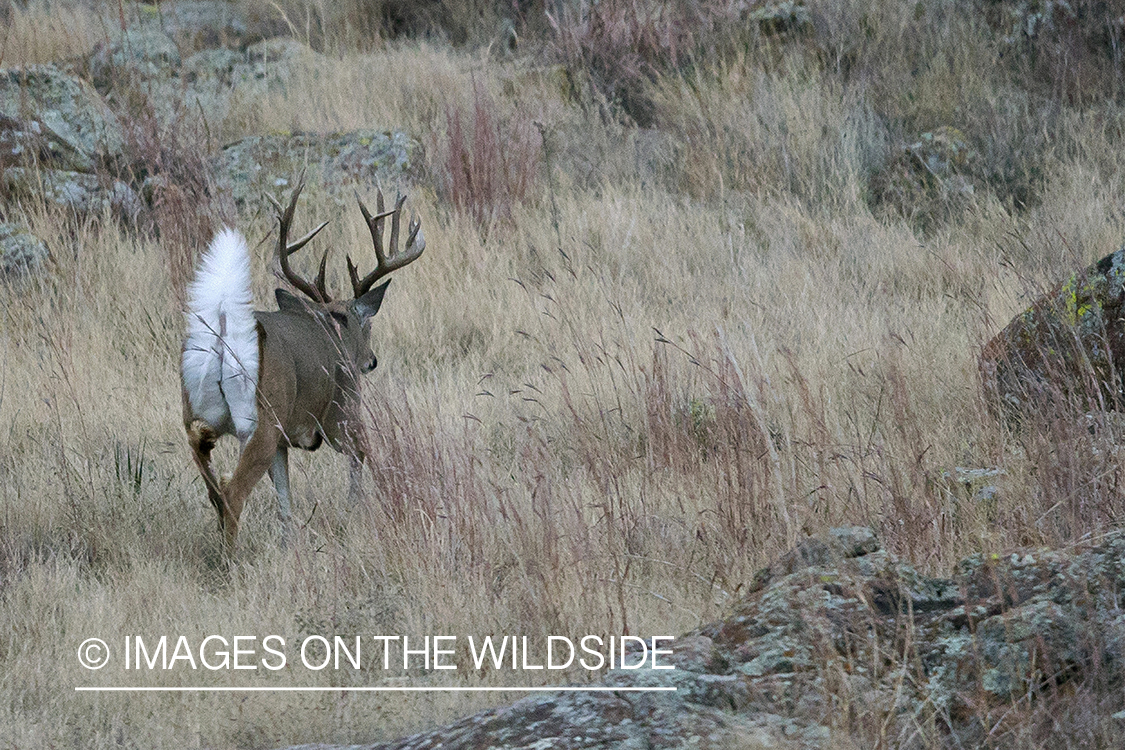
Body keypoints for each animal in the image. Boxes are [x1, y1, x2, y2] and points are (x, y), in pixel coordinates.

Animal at [180, 178, 425, 548]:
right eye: (367, 324)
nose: (371, 361)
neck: (331, 328)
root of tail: (224, 339)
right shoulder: (341, 410)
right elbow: (361, 456)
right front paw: (355, 515)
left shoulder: (283, 439)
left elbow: (284, 497)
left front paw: (288, 545)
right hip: (262, 421)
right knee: (232, 491)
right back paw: (230, 558)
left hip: (196, 414)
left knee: (213, 486)